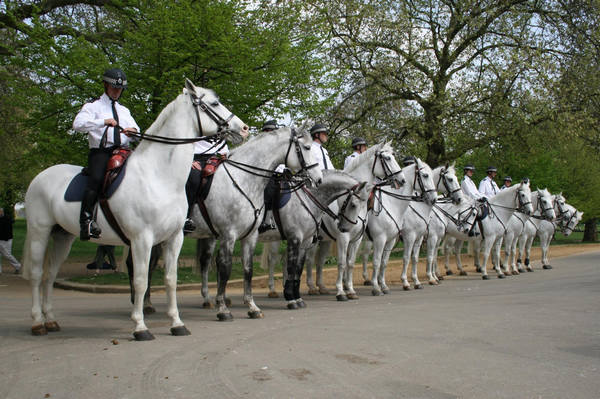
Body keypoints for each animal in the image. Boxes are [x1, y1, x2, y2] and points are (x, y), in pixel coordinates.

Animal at [21, 80, 246, 340]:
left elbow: (170, 280)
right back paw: (38, 322)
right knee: (37, 274)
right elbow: (140, 280)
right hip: (40, 232)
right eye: (214, 103)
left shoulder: (174, 238)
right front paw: (140, 326)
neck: (159, 176)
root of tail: (40, 176)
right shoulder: (142, 239)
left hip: (62, 236)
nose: (243, 128)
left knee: (50, 276)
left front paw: (177, 323)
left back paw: (51, 320)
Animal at [189, 128, 324, 322]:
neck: (242, 179)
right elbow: (226, 268)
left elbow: (248, 269)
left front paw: (252, 307)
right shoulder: (229, 234)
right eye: (306, 147)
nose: (319, 179)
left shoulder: (249, 236)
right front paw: (223, 309)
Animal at [304, 142, 404, 302]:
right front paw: (341, 291)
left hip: (324, 240)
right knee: (307, 259)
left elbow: (350, 263)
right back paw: (310, 288)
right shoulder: (344, 237)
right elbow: (341, 263)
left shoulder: (357, 238)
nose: (402, 180)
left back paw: (322, 287)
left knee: (319, 261)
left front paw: (350, 289)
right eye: (387, 158)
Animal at [358, 160, 438, 296]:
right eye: (425, 175)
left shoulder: (415, 238)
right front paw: (405, 283)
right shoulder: (406, 237)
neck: (392, 203)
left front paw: (416, 282)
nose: (433, 199)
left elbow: (411, 259)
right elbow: (404, 258)